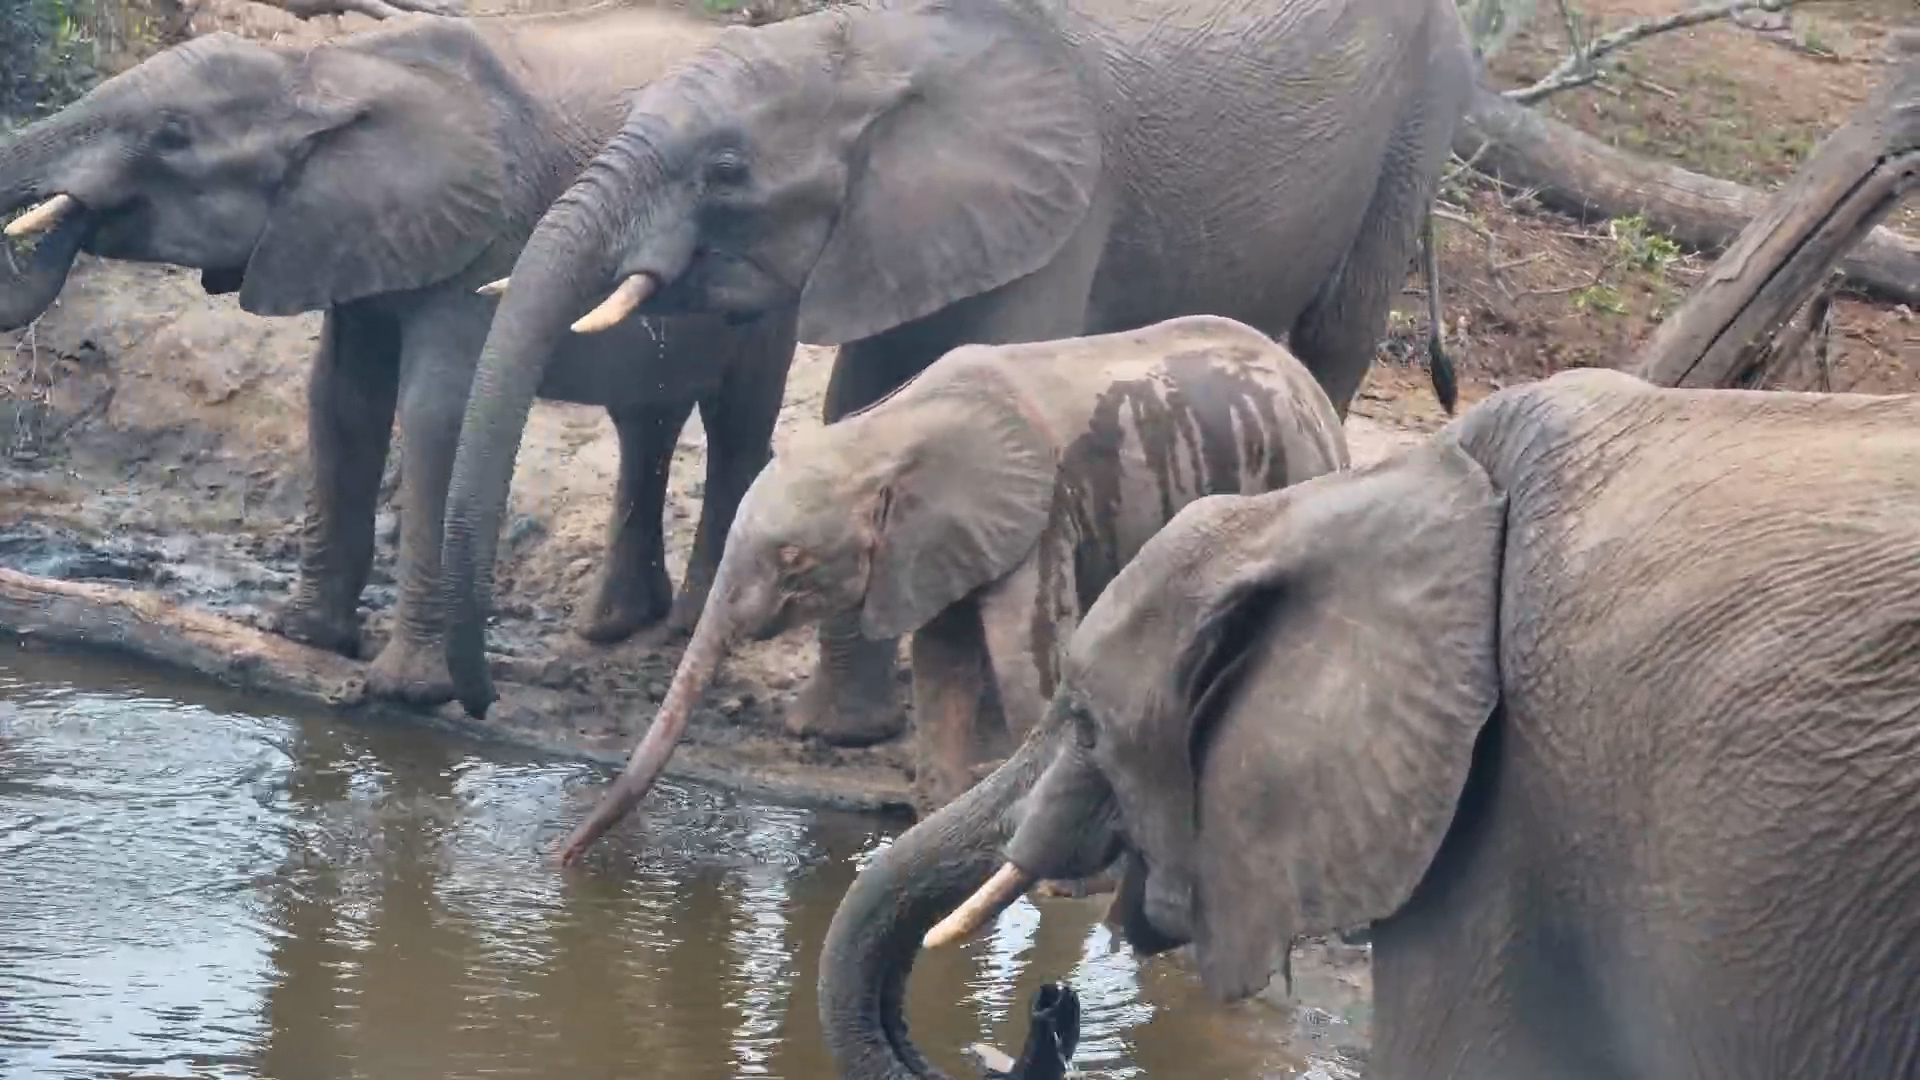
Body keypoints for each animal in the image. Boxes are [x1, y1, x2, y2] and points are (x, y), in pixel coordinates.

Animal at [0, 7, 799, 704]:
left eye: (171, 134)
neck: (327, 72)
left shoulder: (487, 237)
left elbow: (435, 410)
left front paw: (409, 690)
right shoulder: (347, 235)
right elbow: (339, 399)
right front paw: (303, 637)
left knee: (736, 424)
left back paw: (686, 625)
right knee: (646, 421)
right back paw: (612, 627)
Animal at [439, 0, 1477, 750]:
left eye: (726, 169)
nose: (480, 704)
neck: (875, 50)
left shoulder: (1059, 208)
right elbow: (864, 398)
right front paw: (840, 733)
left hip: (1413, 124)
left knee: (1335, 335)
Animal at [552, 315, 1350, 867]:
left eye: (792, 558)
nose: (563, 859)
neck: (886, 435)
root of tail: (1322, 404)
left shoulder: (1041, 512)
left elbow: (1031, 659)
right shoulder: (936, 543)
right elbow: (941, 659)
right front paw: (931, 822)